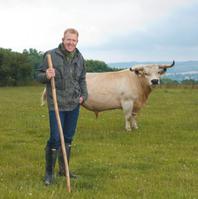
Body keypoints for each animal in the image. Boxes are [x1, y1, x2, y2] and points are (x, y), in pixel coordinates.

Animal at [41, 61, 173, 131]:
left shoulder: (136, 104)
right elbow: (127, 116)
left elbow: (134, 116)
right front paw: (128, 129)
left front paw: (135, 127)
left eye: (158, 72)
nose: (155, 81)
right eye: (146, 73)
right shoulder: (127, 102)